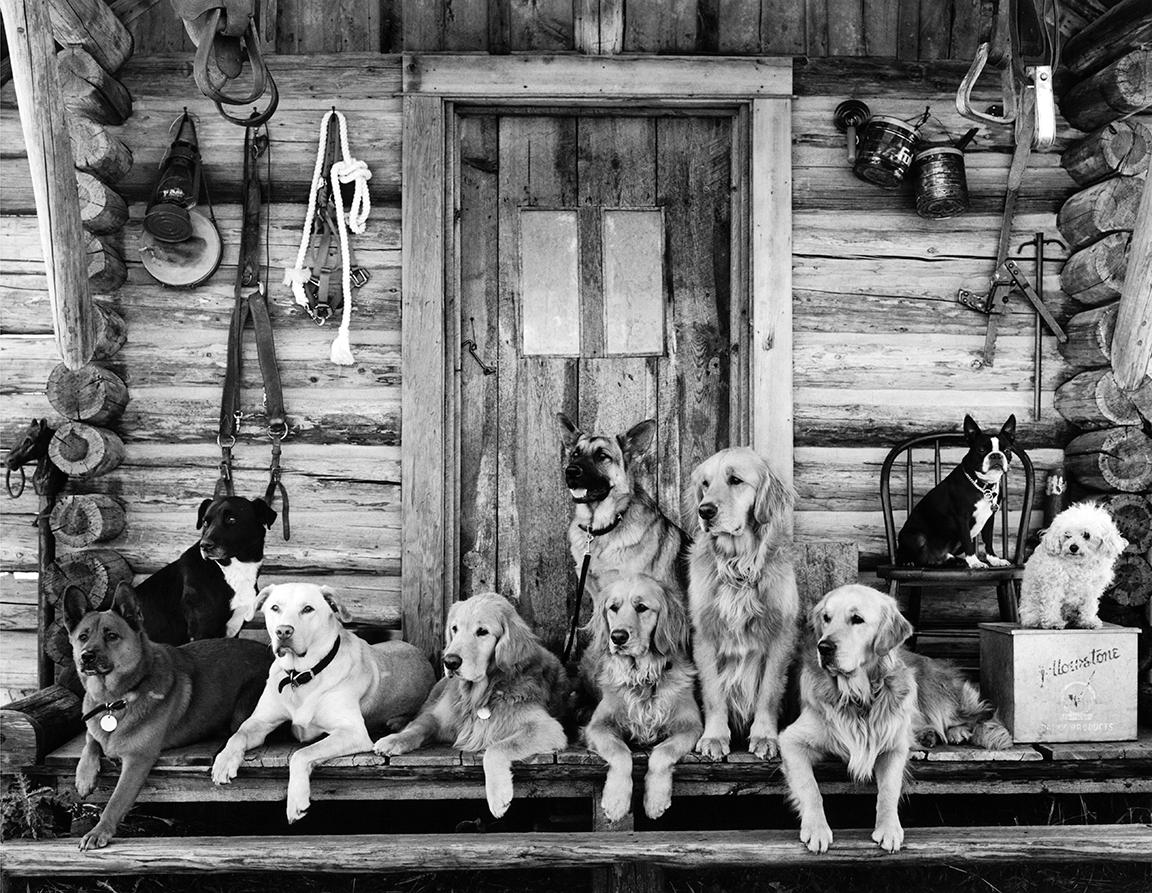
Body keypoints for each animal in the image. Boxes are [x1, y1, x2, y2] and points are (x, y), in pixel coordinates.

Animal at [213, 583, 435, 820]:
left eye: (308, 609)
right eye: (275, 607)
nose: (283, 631)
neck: (300, 675)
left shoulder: (352, 732)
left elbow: (302, 754)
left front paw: (296, 800)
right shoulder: (260, 721)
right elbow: (238, 735)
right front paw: (224, 762)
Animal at [893, 414, 1013, 569]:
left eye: (1007, 450)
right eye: (981, 450)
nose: (996, 455)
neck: (983, 484)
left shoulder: (989, 518)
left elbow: (988, 541)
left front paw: (994, 559)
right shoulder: (962, 518)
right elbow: (968, 542)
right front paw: (975, 562)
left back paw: (952, 560)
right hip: (915, 536)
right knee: (908, 555)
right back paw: (908, 562)